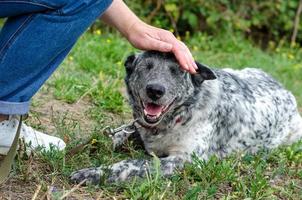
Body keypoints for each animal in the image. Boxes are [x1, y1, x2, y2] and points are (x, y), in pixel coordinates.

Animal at [71, 50, 302, 184]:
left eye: (176, 71)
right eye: (146, 67)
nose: (155, 90)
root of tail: (287, 91)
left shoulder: (184, 159)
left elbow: (132, 164)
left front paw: (93, 173)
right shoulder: (137, 129)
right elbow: (109, 137)